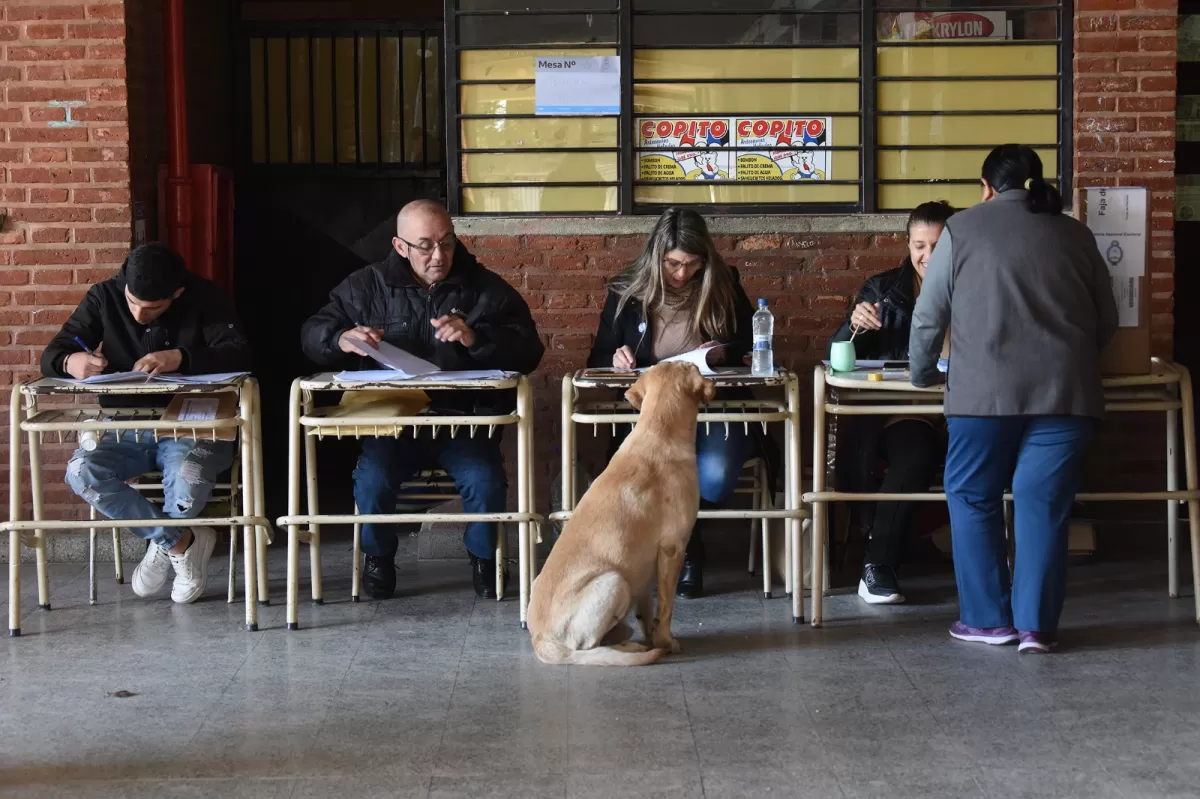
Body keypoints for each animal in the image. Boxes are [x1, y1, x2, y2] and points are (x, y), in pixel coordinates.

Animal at [530, 359, 715, 667]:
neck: (658, 432)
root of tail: (540, 641)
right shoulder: (672, 548)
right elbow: (666, 609)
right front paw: (666, 643)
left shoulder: (645, 569)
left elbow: (648, 613)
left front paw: (653, 638)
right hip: (614, 581)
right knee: (588, 648)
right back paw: (629, 650)